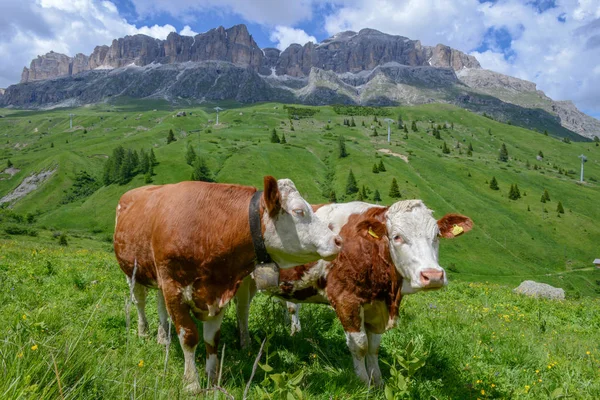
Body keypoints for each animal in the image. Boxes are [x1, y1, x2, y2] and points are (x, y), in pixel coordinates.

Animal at [236, 202, 474, 386]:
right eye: (397, 237)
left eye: (436, 236)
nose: (432, 275)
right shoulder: (345, 299)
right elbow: (360, 345)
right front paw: (363, 382)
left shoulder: (375, 307)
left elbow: (374, 347)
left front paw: (378, 382)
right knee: (242, 310)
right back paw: (245, 345)